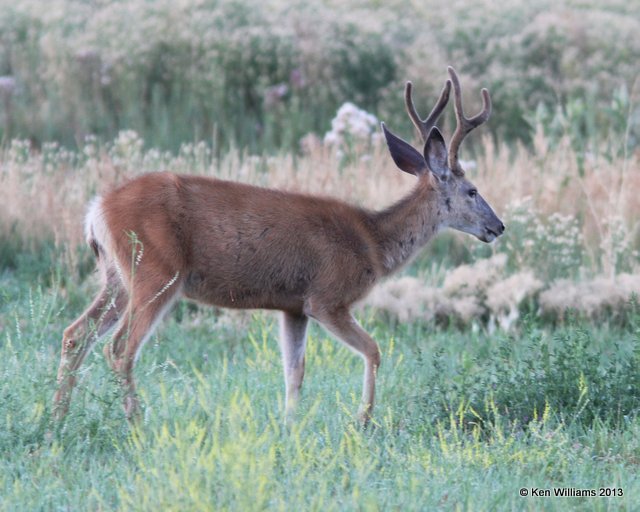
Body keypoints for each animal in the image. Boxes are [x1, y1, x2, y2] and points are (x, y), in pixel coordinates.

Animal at [53, 69, 504, 428]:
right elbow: (374, 351)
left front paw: (289, 427)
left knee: (76, 334)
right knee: (118, 348)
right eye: (472, 190)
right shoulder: (328, 297)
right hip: (155, 271)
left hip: (117, 276)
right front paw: (363, 421)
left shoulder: (293, 306)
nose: (498, 226)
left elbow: (294, 371)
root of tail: (96, 209)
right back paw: (136, 424)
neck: (373, 242)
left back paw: (57, 419)